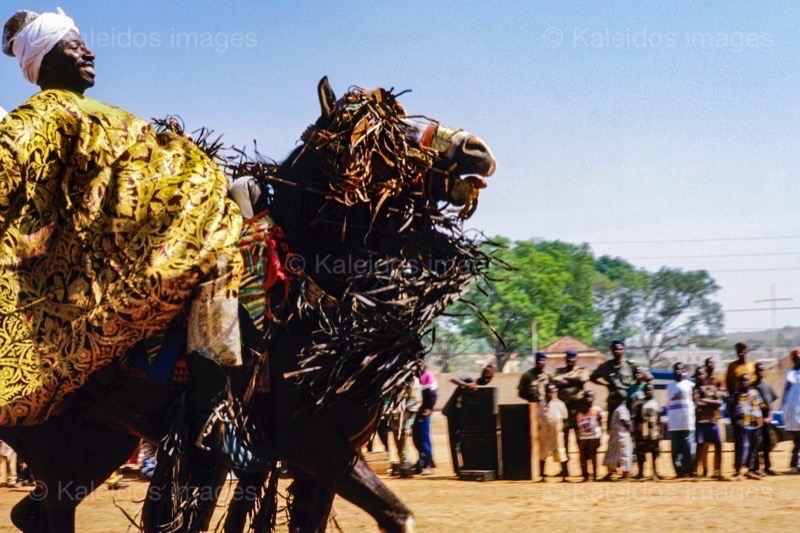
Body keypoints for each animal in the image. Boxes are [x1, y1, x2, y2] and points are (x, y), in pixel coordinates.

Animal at [0, 79, 496, 532]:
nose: (476, 148)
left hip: (97, 443)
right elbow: (398, 515)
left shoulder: (323, 465)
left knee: (32, 513)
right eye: (387, 128)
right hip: (59, 447)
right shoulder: (311, 446)